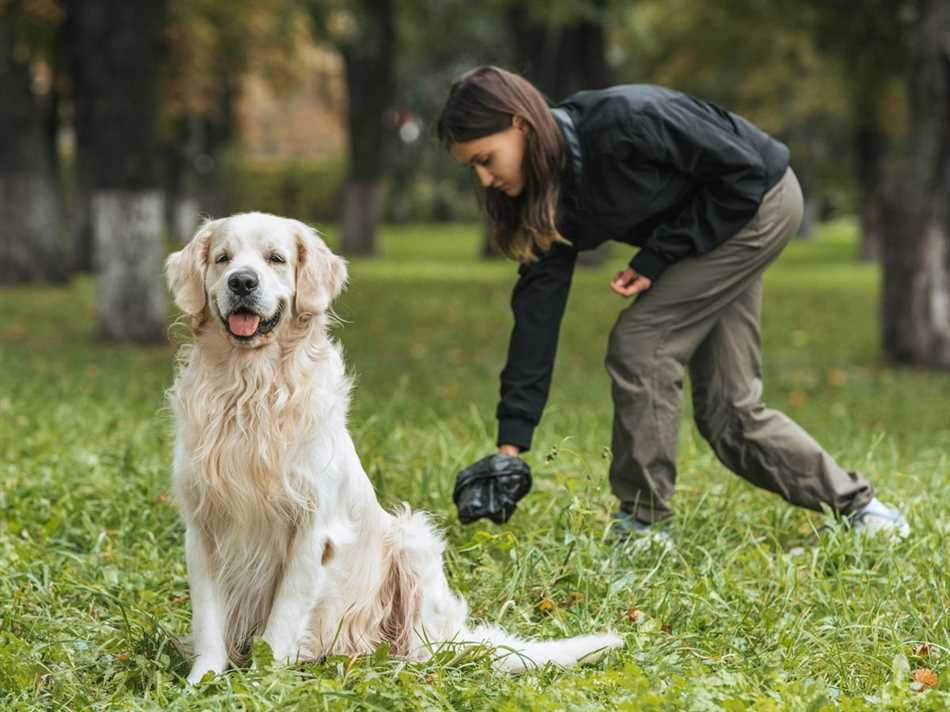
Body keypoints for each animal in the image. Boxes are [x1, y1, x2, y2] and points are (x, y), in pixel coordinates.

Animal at [164, 213, 624, 684]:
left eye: (276, 258)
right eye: (223, 259)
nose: (242, 282)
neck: (250, 389)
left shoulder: (312, 529)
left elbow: (282, 620)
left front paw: (261, 680)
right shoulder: (202, 526)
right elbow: (208, 620)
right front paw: (202, 681)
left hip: (413, 541)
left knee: (424, 649)